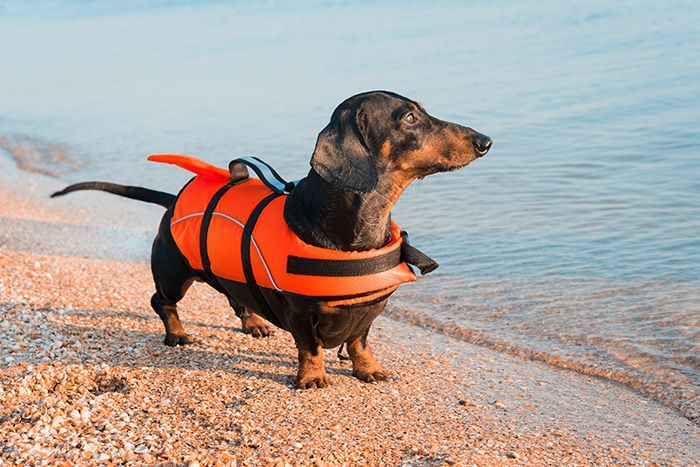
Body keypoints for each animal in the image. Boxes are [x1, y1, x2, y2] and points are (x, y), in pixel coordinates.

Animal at [52, 90, 492, 388]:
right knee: (161, 301)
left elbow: (359, 342)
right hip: (173, 273)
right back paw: (176, 334)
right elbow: (310, 346)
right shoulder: (298, 310)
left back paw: (253, 322)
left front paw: (368, 370)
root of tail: (173, 199)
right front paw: (312, 378)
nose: (485, 141)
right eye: (409, 117)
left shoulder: (370, 310)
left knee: (236, 296)